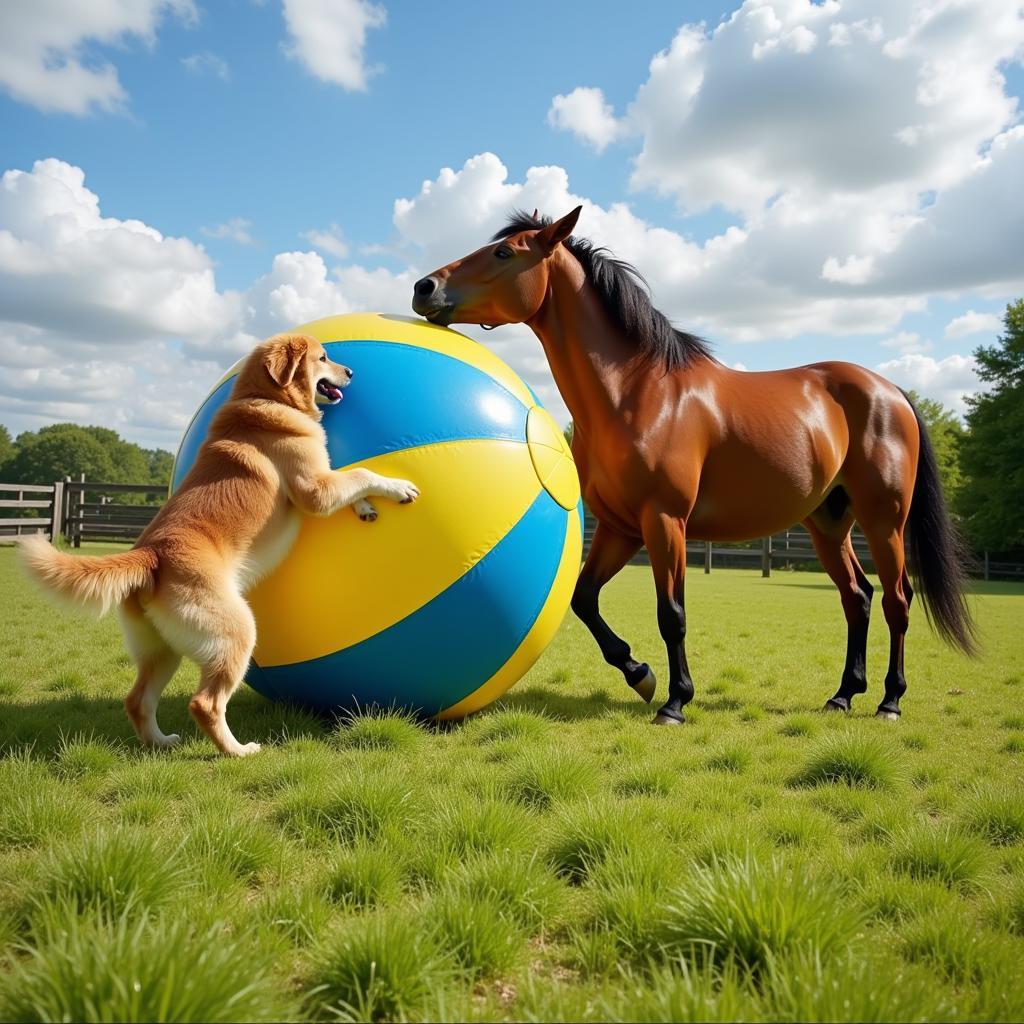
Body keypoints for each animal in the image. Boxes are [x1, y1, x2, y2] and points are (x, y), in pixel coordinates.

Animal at [20, 331, 419, 757]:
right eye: (324, 357)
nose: (351, 372)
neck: (269, 399)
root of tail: (149, 554)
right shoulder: (314, 489)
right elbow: (359, 472)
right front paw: (398, 488)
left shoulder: (321, 484)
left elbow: (352, 479)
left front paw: (365, 506)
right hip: (235, 633)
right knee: (205, 703)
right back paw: (238, 750)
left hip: (162, 650)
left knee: (138, 700)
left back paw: (161, 742)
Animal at [409, 205, 974, 720]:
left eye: (504, 253)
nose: (424, 287)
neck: (636, 393)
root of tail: (890, 391)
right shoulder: (620, 527)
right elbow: (584, 599)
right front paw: (639, 674)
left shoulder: (665, 522)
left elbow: (672, 613)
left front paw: (676, 700)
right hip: (829, 523)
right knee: (857, 597)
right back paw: (842, 695)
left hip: (884, 520)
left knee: (897, 599)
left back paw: (889, 701)